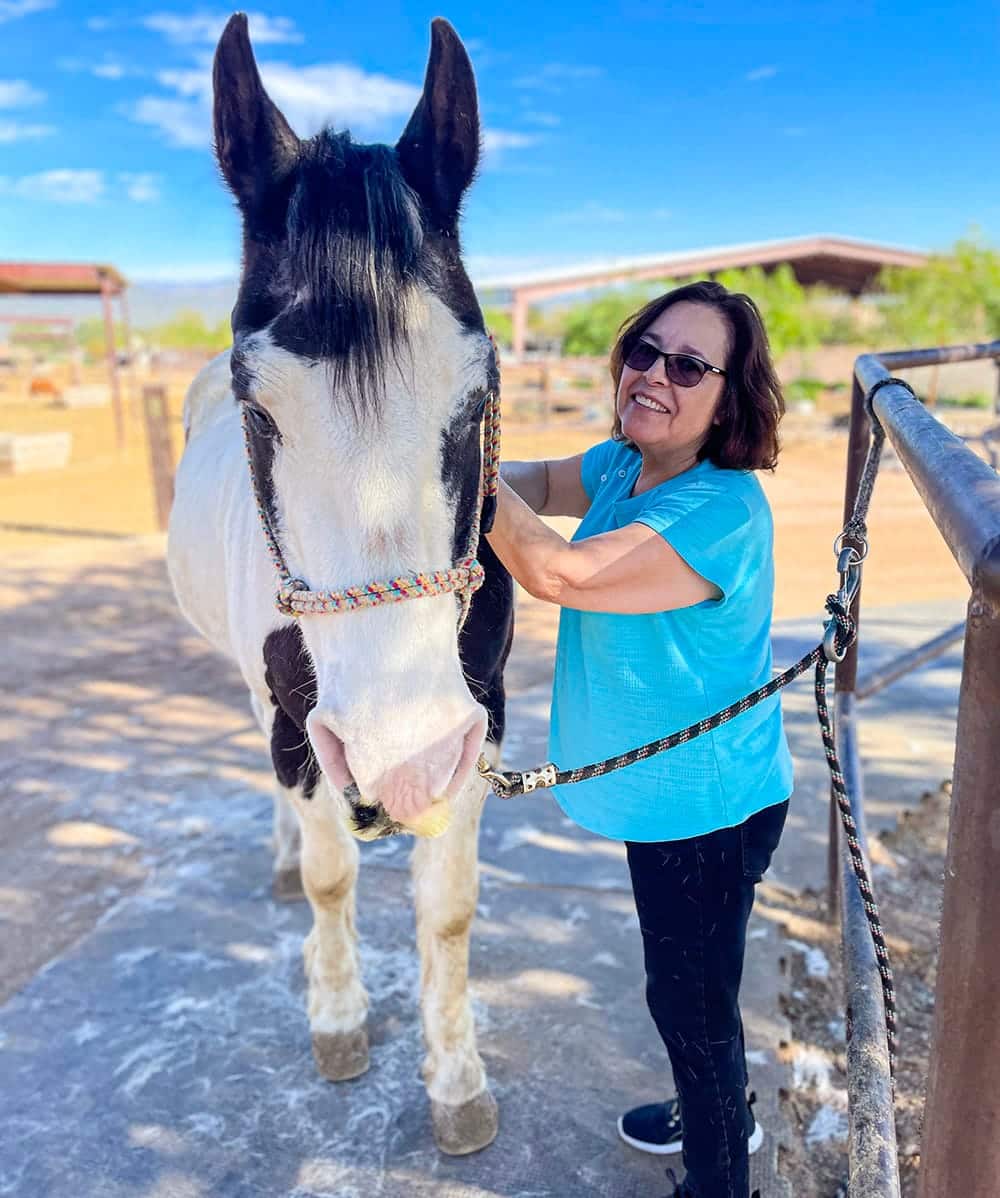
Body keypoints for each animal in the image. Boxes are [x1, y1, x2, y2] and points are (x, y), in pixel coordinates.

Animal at [167, 14, 512, 1154]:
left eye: (478, 397)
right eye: (255, 406)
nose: (397, 758)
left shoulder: (477, 722)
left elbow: (449, 908)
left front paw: (456, 1082)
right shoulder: (302, 723)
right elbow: (331, 877)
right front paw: (337, 1018)